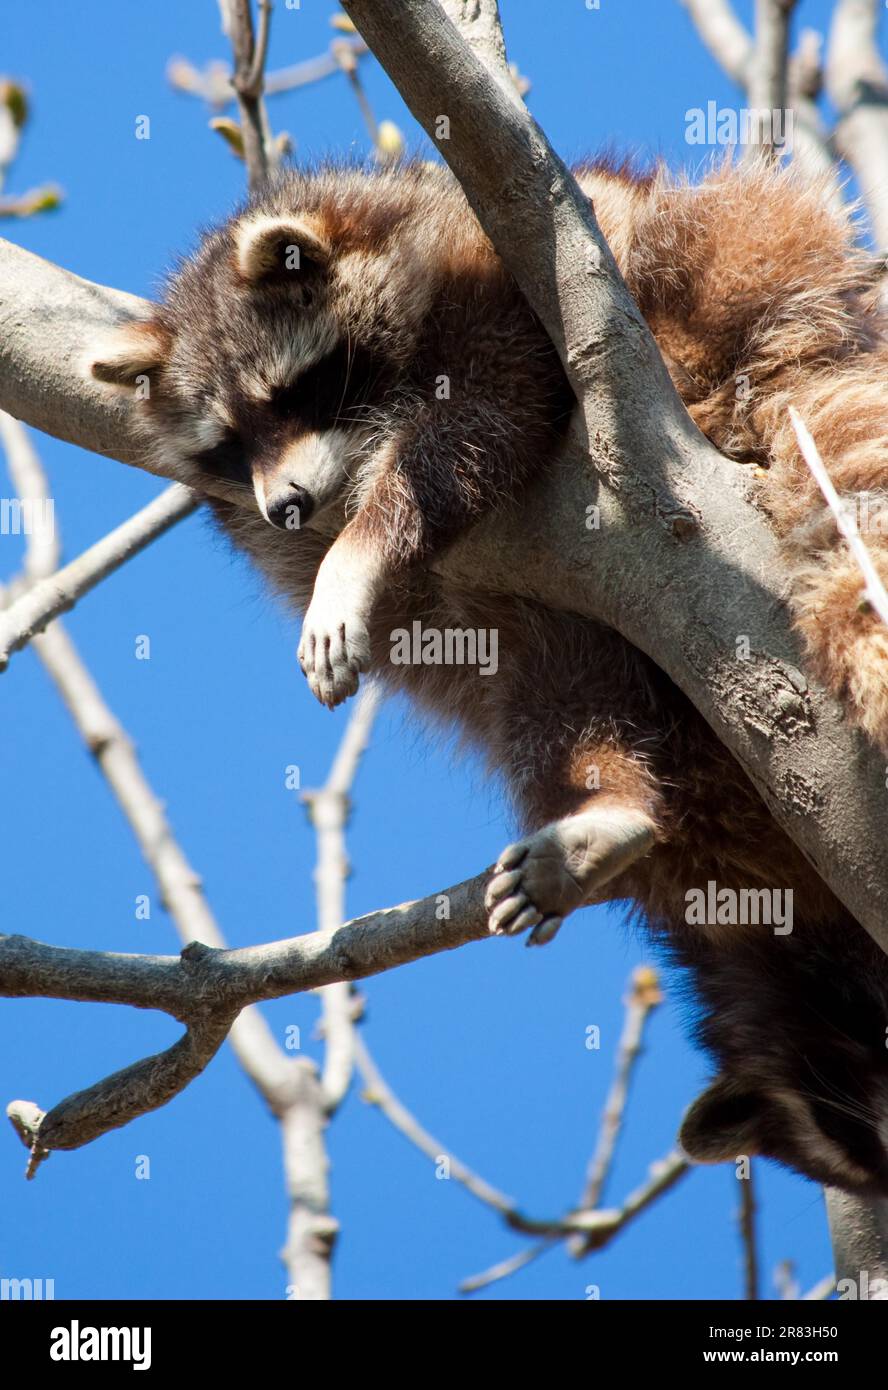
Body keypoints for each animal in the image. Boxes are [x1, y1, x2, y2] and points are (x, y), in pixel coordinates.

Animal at [91, 154, 888, 1195]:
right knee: (556, 694)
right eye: (226, 444)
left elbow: (485, 415)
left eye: (296, 394)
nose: (288, 505)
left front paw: (361, 547)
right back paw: (602, 808)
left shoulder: (506, 278)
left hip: (711, 301)